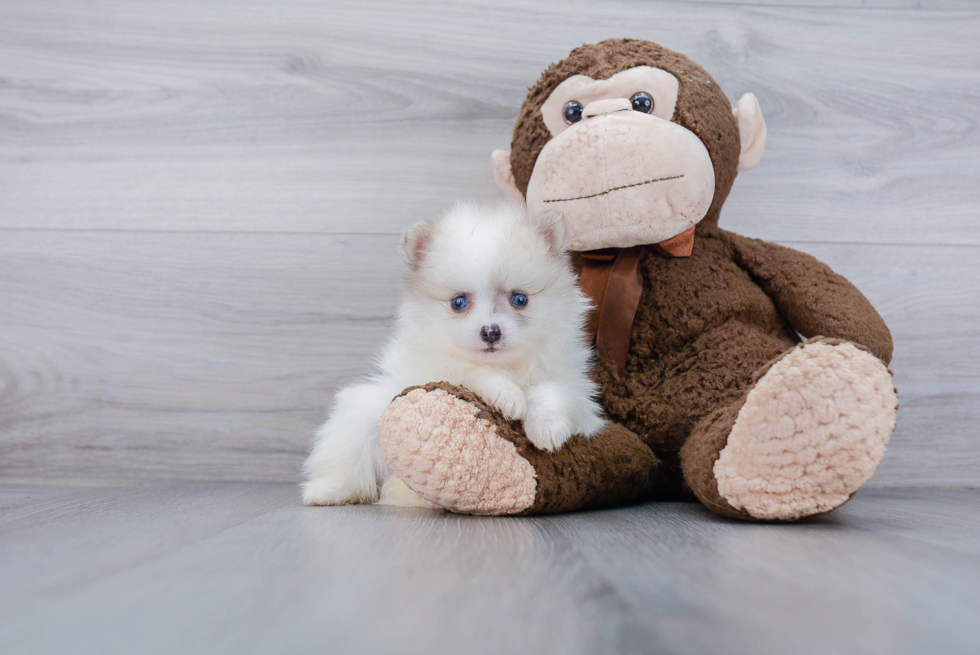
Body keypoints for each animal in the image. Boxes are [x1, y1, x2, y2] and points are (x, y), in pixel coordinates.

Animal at [300, 201, 604, 508]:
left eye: (520, 299)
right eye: (459, 302)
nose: (490, 332)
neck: (506, 365)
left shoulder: (576, 385)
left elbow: (553, 390)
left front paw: (546, 427)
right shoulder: (435, 370)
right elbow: (474, 374)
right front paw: (508, 396)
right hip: (361, 417)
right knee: (350, 469)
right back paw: (326, 492)